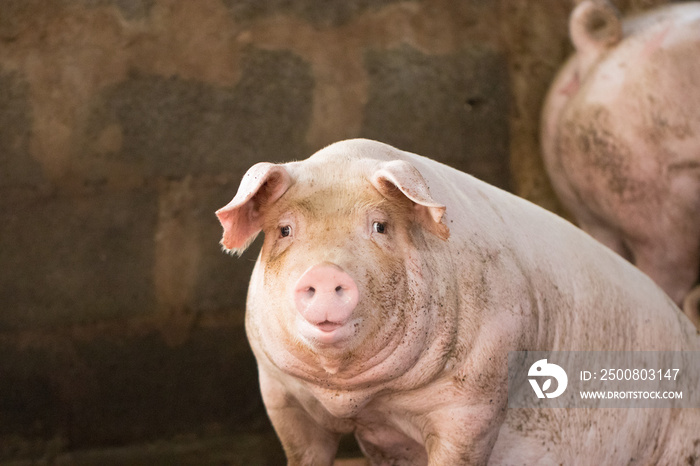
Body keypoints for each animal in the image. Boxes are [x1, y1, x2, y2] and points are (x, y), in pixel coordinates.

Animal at [216, 139, 696, 466]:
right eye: (284, 230)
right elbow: (304, 452)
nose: (325, 272)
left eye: (380, 226)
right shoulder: (280, 392)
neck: (358, 400)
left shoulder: (476, 400)